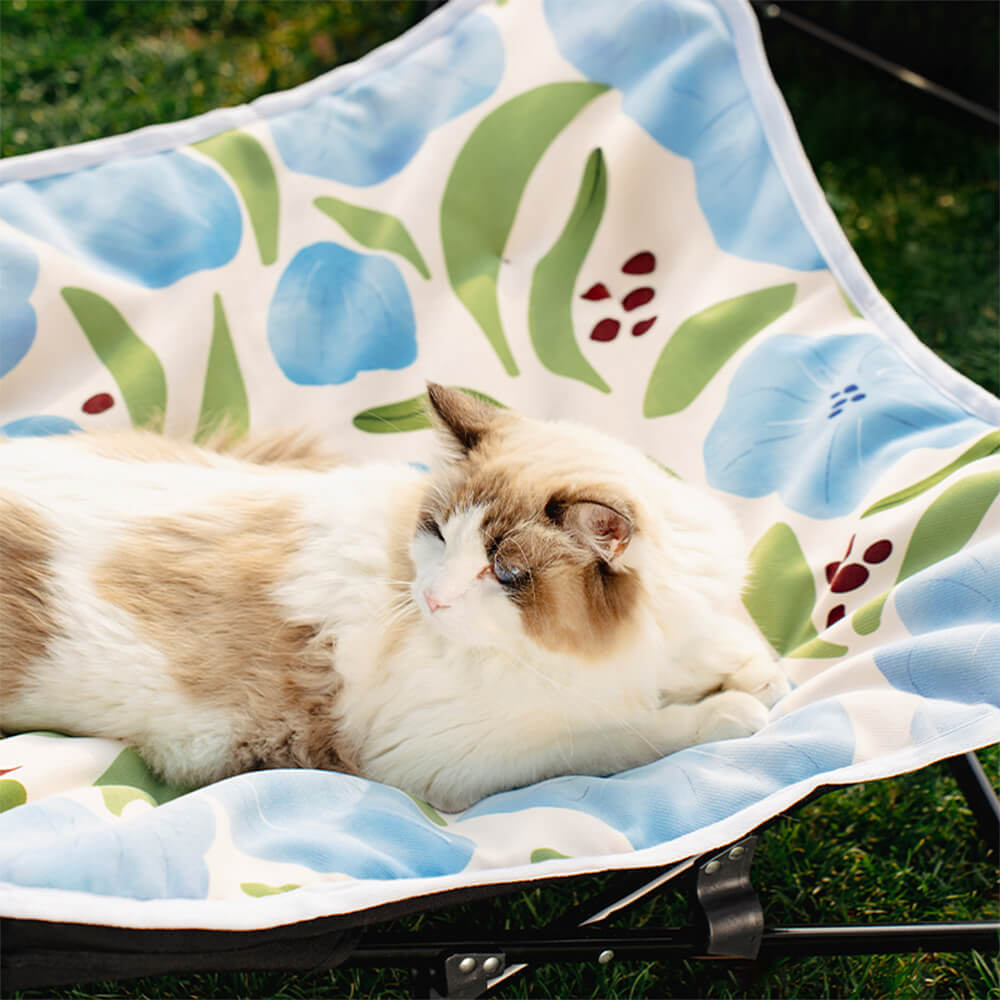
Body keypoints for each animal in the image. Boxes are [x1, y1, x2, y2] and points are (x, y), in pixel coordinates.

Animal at [0, 382, 784, 812]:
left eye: (506, 575)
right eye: (437, 532)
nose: (431, 598)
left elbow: (733, 650)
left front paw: (756, 674)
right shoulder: (448, 756)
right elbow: (625, 736)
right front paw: (732, 711)